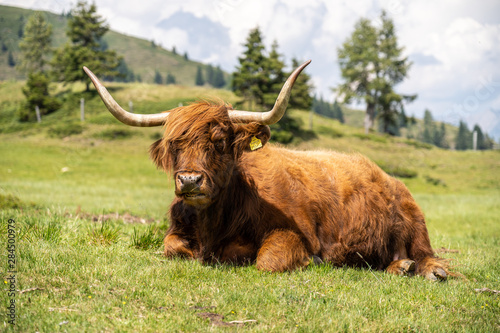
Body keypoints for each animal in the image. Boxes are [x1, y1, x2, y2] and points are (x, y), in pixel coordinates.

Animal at [84, 61, 448, 278]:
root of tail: (386, 176)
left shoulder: (294, 233)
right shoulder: (178, 231)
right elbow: (172, 247)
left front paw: (308, 261)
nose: (189, 180)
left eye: (219, 141)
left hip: (412, 222)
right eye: (174, 145)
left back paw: (423, 269)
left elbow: (266, 260)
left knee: (426, 254)